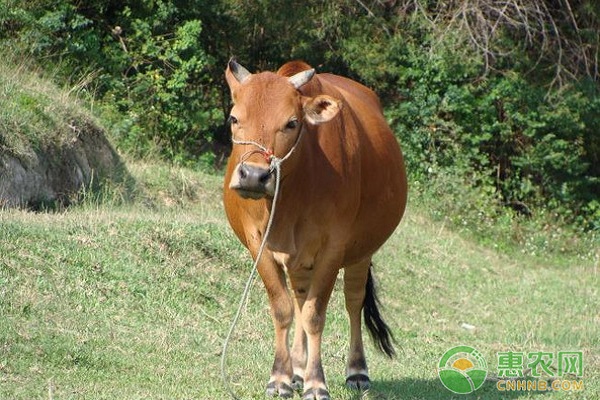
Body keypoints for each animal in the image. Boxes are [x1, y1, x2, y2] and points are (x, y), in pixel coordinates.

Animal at [224, 59, 408, 400]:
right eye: (234, 118)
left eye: (291, 123)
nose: (254, 176)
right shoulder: (259, 244)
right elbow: (283, 308)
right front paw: (281, 377)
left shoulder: (333, 248)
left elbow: (315, 314)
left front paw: (315, 383)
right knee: (298, 296)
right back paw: (297, 368)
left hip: (362, 252)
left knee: (353, 301)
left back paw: (356, 371)